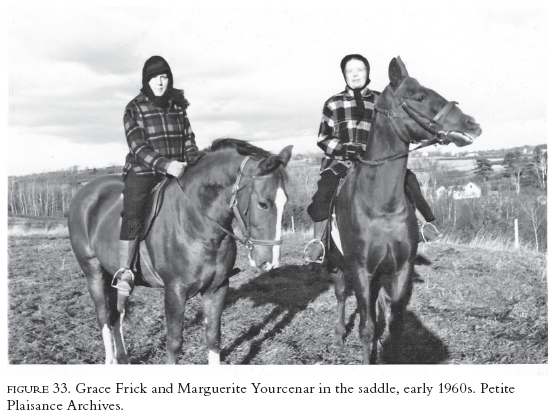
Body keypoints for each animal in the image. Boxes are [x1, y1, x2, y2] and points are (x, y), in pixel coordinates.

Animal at [68, 138, 294, 362]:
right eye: (263, 204)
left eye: (285, 202)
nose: (270, 262)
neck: (198, 224)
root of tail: (85, 192)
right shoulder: (175, 291)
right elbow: (174, 344)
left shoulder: (217, 288)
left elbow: (213, 339)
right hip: (93, 271)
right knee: (104, 317)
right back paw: (111, 359)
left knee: (116, 314)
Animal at [330, 57, 482, 362]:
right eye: (419, 97)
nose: (472, 124)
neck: (381, 206)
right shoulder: (361, 270)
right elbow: (366, 328)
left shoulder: (400, 269)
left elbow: (394, 326)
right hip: (339, 264)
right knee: (341, 294)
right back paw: (339, 335)